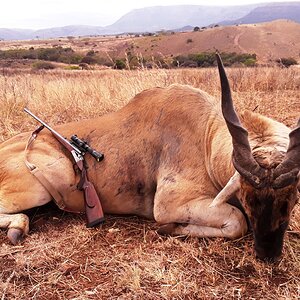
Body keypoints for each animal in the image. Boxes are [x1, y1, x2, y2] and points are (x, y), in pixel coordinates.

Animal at [0, 55, 298, 262]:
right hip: (50, 179)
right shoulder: (169, 205)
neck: (207, 135)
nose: (268, 254)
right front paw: (169, 228)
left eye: (292, 201)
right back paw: (17, 228)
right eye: (248, 200)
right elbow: (237, 222)